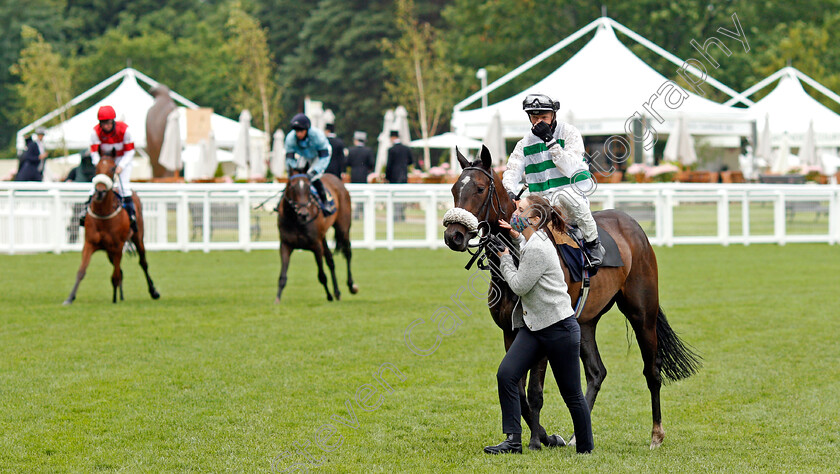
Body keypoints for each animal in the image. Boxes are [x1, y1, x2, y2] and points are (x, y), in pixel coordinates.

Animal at [63, 154, 159, 306]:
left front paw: (114, 299)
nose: (100, 192)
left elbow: (115, 275)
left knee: (143, 263)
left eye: (113, 168)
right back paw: (121, 295)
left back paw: (153, 291)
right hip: (109, 252)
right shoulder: (89, 244)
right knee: (121, 270)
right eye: (96, 167)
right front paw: (70, 298)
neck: (103, 213)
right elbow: (81, 271)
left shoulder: (118, 246)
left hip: (138, 238)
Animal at [274, 171, 356, 304]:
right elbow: (282, 276)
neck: (296, 221)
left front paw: (329, 296)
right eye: (291, 186)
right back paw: (337, 292)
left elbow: (322, 275)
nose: (303, 214)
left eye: (308, 187)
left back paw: (351, 285)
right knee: (330, 260)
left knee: (347, 252)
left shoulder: (316, 245)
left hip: (343, 227)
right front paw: (277, 299)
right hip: (323, 237)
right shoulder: (285, 245)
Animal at [442, 146, 700, 450]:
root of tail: (632, 225)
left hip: (642, 314)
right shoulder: (509, 331)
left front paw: (535, 441)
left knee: (652, 370)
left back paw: (656, 434)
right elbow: (517, 389)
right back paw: (579, 434)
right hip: (585, 323)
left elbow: (534, 391)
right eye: (454, 188)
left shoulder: (539, 333)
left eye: (480, 188)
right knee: (597, 372)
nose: (453, 236)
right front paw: (543, 437)